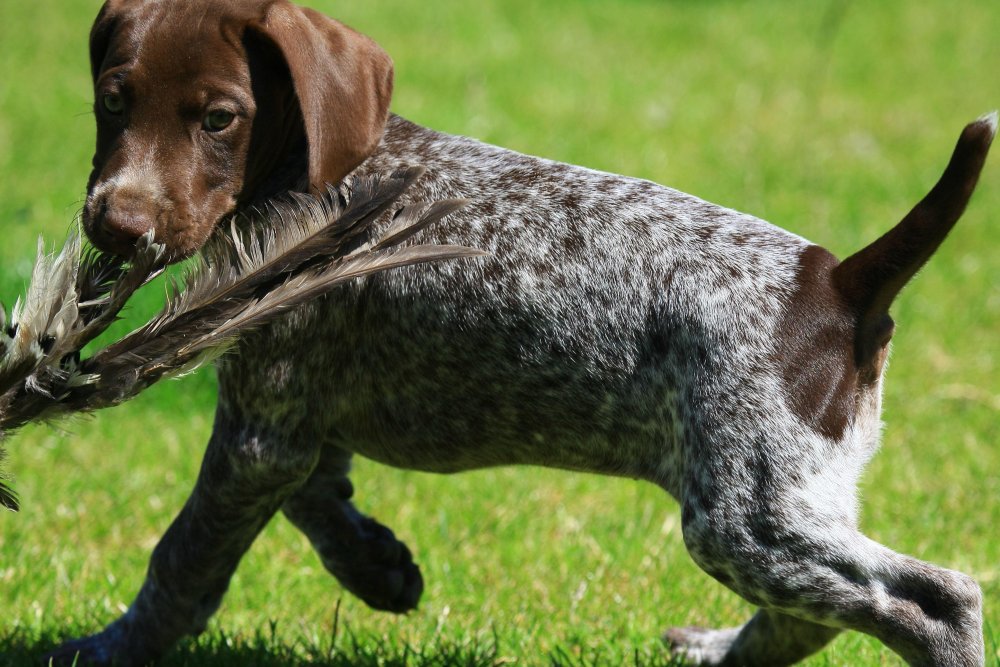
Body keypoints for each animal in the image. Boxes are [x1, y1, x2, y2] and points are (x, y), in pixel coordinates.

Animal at [47, 1, 992, 667]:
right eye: (111, 101)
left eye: (219, 118)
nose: (117, 224)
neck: (310, 173)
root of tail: (838, 282)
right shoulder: (293, 416)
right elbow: (317, 496)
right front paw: (376, 565)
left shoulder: (260, 428)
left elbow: (184, 561)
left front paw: (110, 647)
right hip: (790, 496)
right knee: (816, 616)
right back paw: (721, 652)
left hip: (743, 514)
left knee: (935, 600)